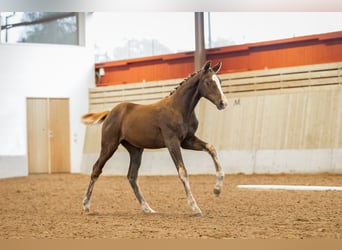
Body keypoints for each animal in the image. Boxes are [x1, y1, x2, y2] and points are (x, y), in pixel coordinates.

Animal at [81, 61, 228, 217]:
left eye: (220, 81)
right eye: (208, 82)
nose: (223, 103)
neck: (179, 109)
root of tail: (110, 113)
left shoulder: (187, 141)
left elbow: (211, 148)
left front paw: (217, 189)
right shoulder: (172, 142)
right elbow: (182, 171)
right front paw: (195, 207)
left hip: (136, 150)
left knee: (132, 176)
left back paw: (147, 208)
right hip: (109, 145)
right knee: (96, 169)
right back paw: (86, 205)